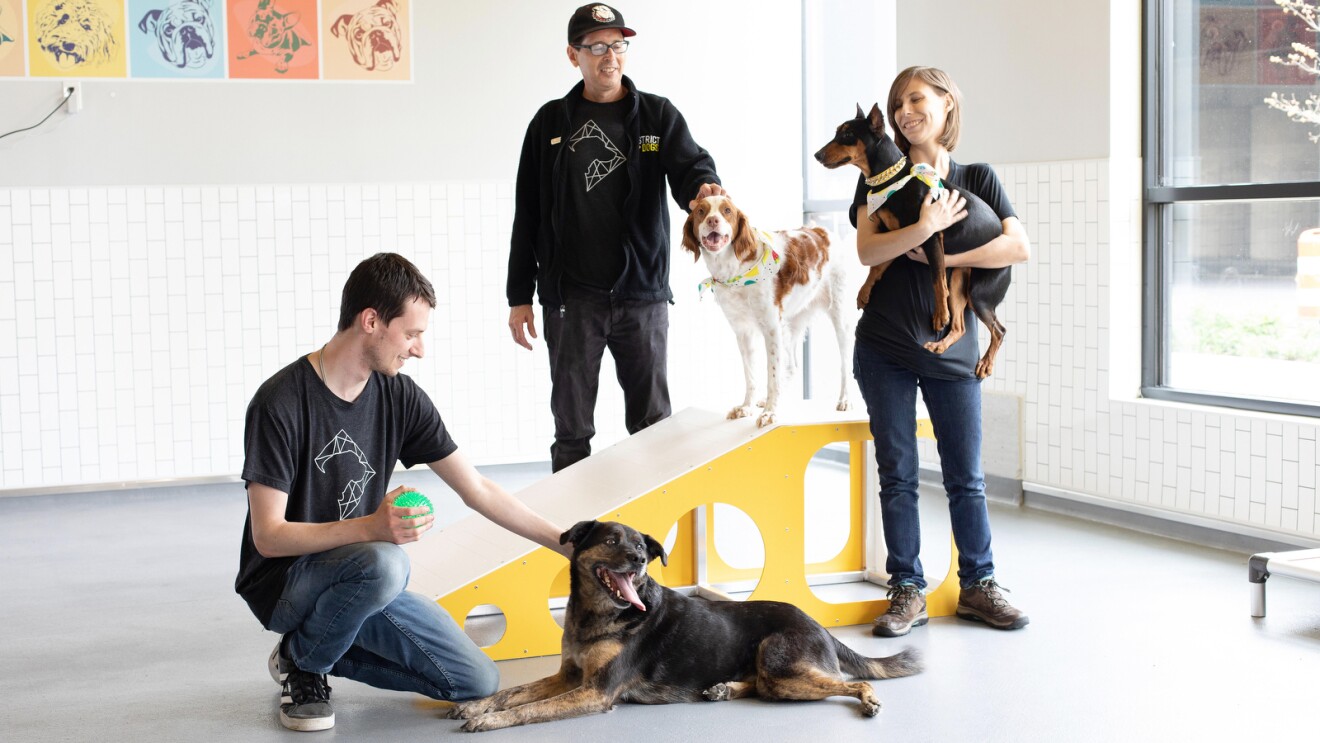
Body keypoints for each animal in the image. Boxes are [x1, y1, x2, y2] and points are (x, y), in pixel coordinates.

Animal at [448, 519, 924, 733]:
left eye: (641, 547)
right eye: (611, 540)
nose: (640, 559)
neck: (600, 615)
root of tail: (821, 627)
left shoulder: (595, 691)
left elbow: (529, 708)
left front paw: (490, 720)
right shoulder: (569, 675)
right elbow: (515, 692)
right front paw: (477, 706)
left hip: (781, 664)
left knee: (849, 682)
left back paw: (869, 700)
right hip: (777, 675)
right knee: (765, 687)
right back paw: (723, 689)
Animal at [681, 196, 855, 430]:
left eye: (727, 211)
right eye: (701, 211)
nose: (713, 220)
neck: (735, 271)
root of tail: (823, 231)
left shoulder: (771, 327)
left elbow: (771, 375)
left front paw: (770, 412)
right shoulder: (743, 331)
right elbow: (751, 375)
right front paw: (746, 406)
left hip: (838, 312)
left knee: (845, 362)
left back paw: (845, 399)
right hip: (791, 322)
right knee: (791, 365)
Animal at [813, 102, 1008, 377]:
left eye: (848, 135)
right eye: (837, 132)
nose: (817, 155)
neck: (892, 181)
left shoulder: (931, 235)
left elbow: (936, 278)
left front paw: (939, 315)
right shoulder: (899, 239)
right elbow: (877, 266)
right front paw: (864, 292)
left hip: (980, 292)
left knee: (999, 330)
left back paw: (986, 363)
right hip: (961, 280)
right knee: (960, 326)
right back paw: (939, 346)